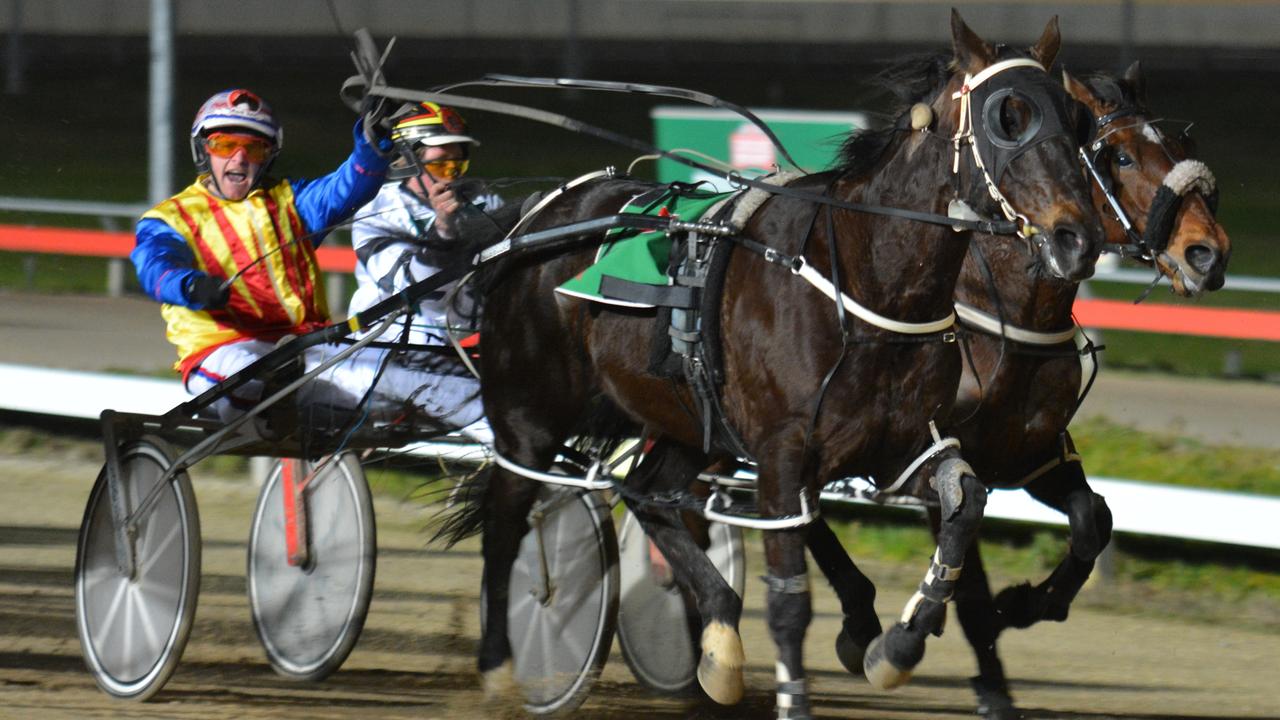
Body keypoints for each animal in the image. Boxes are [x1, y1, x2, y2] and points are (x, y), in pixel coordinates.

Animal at [440, 12, 1100, 717]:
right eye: (1009, 116)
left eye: (1077, 120)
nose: (1078, 238)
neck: (868, 278)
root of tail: (536, 218)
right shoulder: (785, 456)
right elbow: (790, 599)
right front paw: (802, 689)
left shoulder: (905, 446)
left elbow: (966, 504)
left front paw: (896, 646)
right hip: (530, 416)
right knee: (506, 522)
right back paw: (501, 667)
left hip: (686, 423)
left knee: (646, 493)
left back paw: (718, 648)